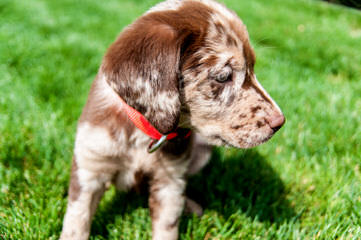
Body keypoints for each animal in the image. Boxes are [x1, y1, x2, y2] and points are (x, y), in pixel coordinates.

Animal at [59, 0, 284, 239]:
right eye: (223, 77)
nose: (280, 122)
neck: (143, 132)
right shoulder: (90, 167)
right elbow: (77, 222)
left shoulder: (171, 180)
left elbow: (167, 227)